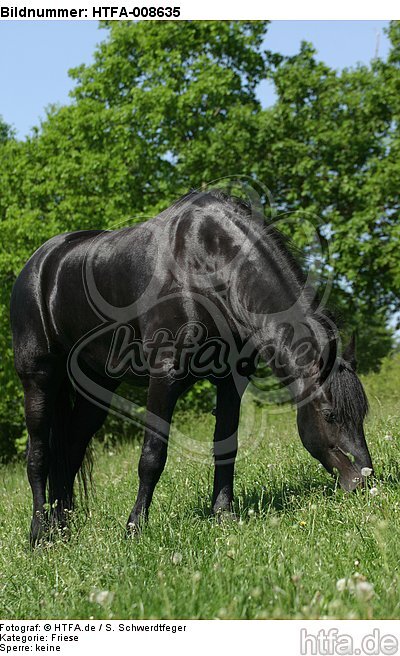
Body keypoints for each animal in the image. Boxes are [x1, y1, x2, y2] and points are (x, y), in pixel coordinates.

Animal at [10, 190, 373, 546]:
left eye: (361, 414)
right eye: (329, 415)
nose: (365, 482)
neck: (207, 265)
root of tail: (39, 264)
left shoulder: (232, 380)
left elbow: (226, 447)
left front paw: (223, 515)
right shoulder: (164, 378)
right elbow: (152, 456)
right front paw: (134, 528)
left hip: (96, 388)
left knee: (70, 451)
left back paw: (62, 530)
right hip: (38, 380)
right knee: (39, 454)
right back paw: (40, 534)